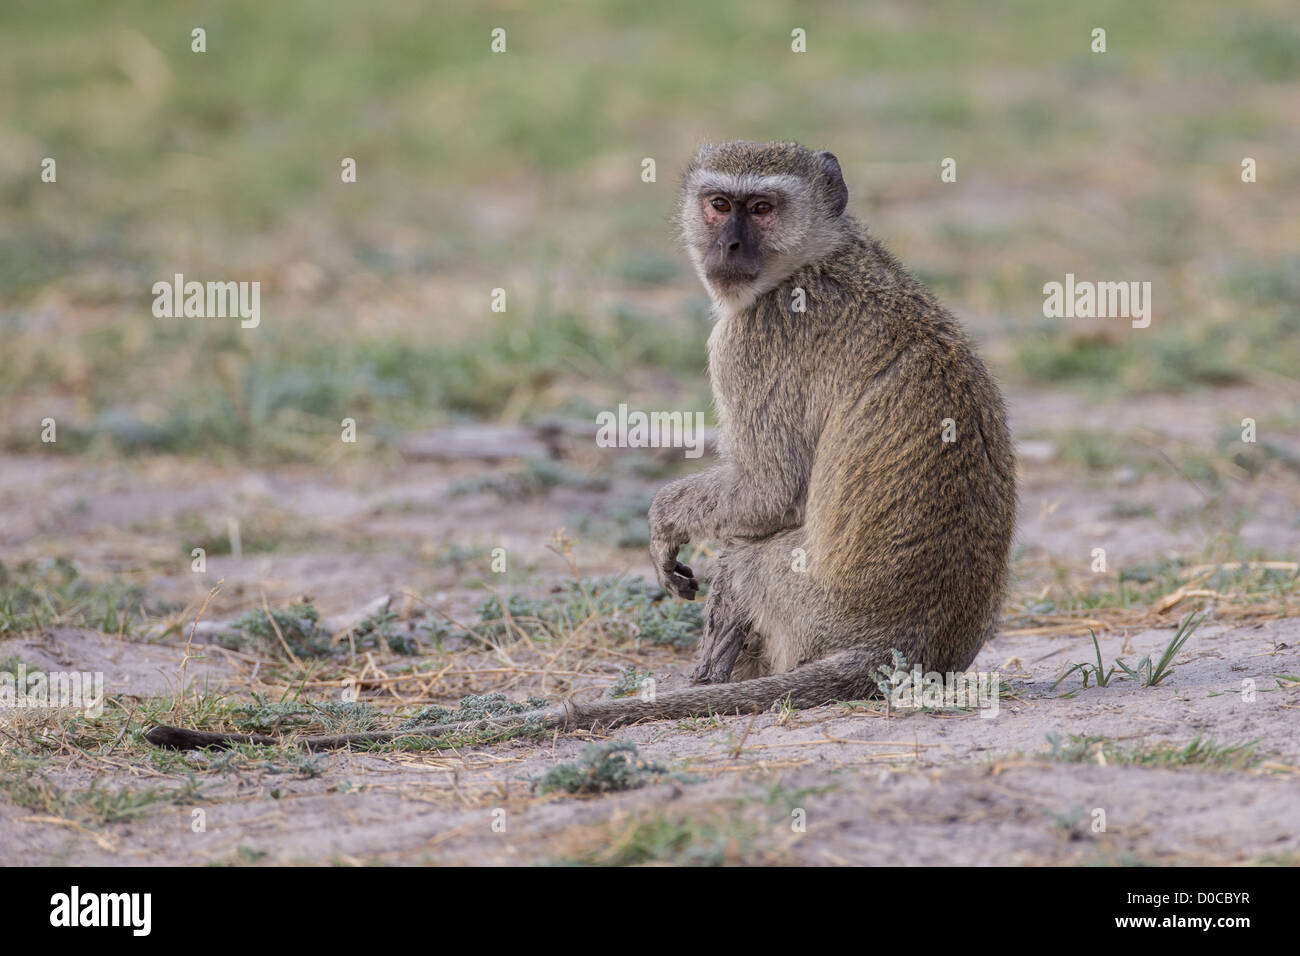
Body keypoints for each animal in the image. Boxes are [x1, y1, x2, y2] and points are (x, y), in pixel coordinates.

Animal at [146, 141, 1016, 752]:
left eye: (762, 209)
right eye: (720, 205)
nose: (730, 249)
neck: (821, 256)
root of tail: (917, 641)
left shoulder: (755, 340)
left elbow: (768, 490)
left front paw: (665, 520)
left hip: (816, 612)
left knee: (746, 563)